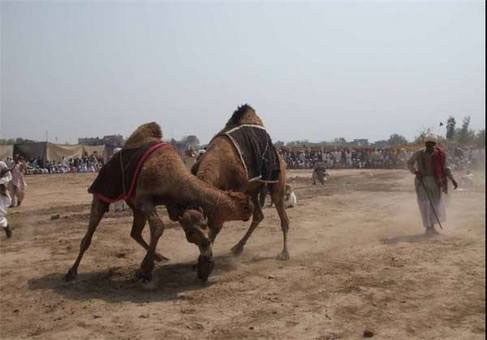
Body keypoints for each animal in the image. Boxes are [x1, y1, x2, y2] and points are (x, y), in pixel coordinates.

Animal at [65, 121, 254, 282]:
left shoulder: (170, 205)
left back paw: (159, 256)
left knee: (135, 232)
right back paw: (71, 272)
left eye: (204, 226)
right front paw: (144, 271)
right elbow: (158, 227)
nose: (250, 207)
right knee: (89, 233)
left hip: (134, 206)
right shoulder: (144, 199)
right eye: (191, 233)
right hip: (102, 193)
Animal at [191, 103, 290, 262]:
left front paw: (206, 255)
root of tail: (281, 157)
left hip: (276, 181)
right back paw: (237, 248)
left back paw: (284, 253)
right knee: (259, 215)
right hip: (253, 189)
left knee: (282, 215)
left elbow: (217, 225)